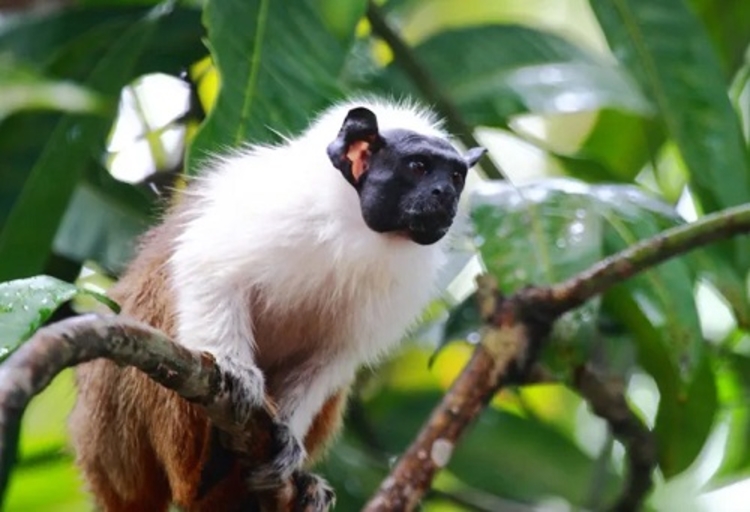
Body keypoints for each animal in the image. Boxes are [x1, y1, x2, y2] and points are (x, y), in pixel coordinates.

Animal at [69, 98, 488, 510]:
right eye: (418, 168)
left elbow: (332, 359)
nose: (445, 195)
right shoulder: (276, 206)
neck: (354, 228)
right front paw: (236, 369)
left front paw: (287, 436)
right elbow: (207, 266)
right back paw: (202, 469)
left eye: (455, 177)